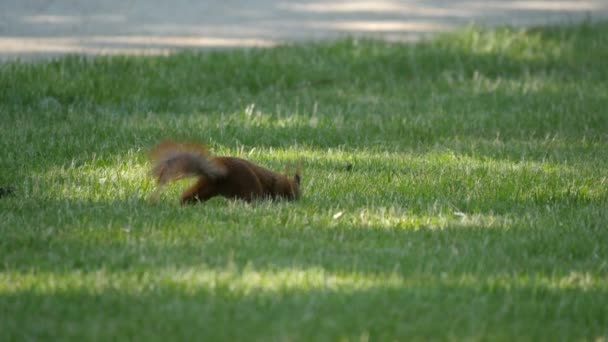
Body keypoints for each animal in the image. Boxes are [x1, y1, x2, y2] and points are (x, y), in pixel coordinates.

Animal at [147, 140, 300, 204]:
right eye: (293, 191)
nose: (297, 199)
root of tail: (222, 175)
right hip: (248, 187)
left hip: (206, 187)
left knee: (190, 195)